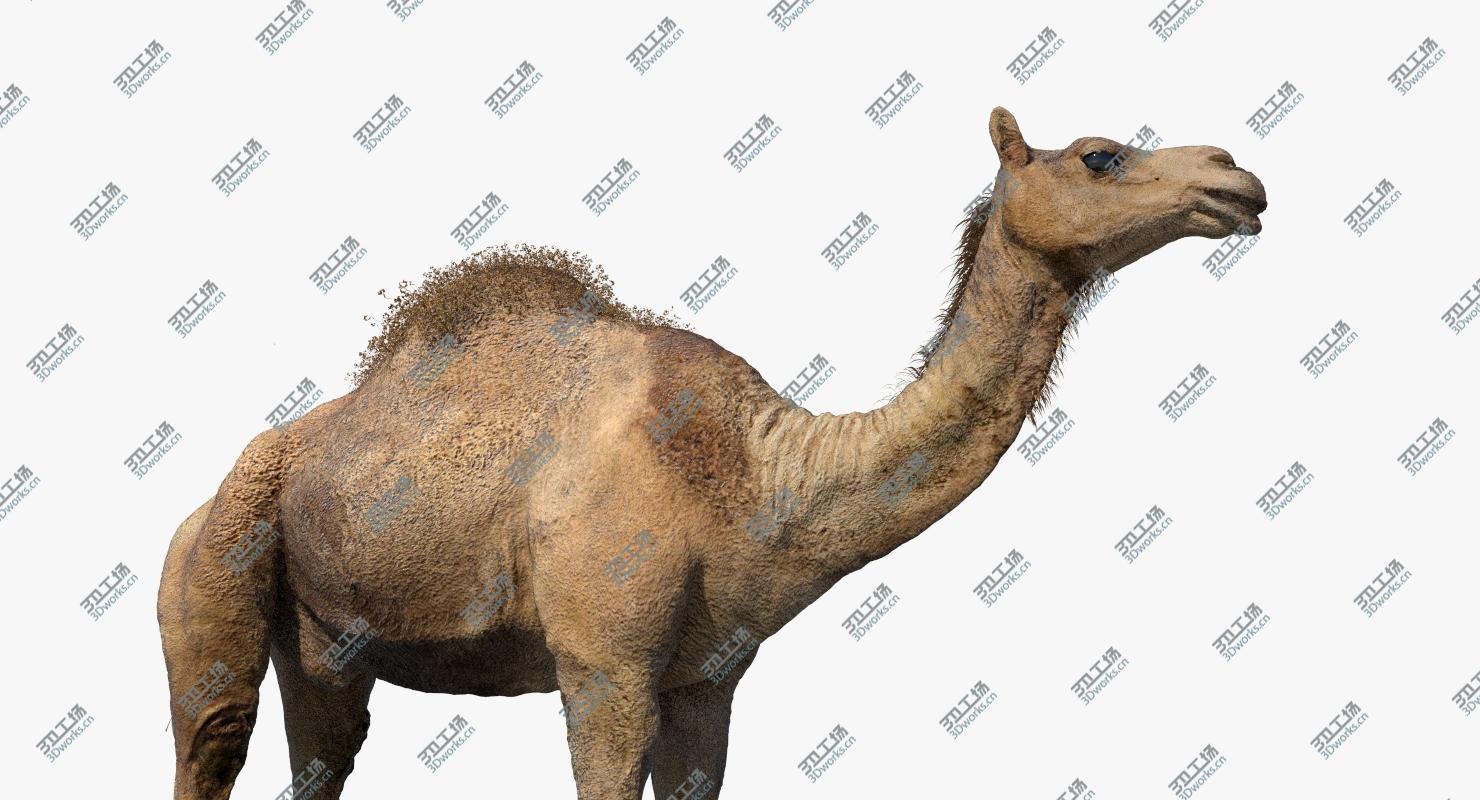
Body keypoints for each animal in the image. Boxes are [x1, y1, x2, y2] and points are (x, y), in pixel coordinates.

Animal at [157, 107, 1266, 799]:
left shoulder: (707, 677)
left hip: (328, 642)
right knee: (210, 735)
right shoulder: (603, 660)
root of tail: (201, 498)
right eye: (1099, 155)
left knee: (324, 750)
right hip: (217, 562)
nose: (1237, 177)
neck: (758, 472)